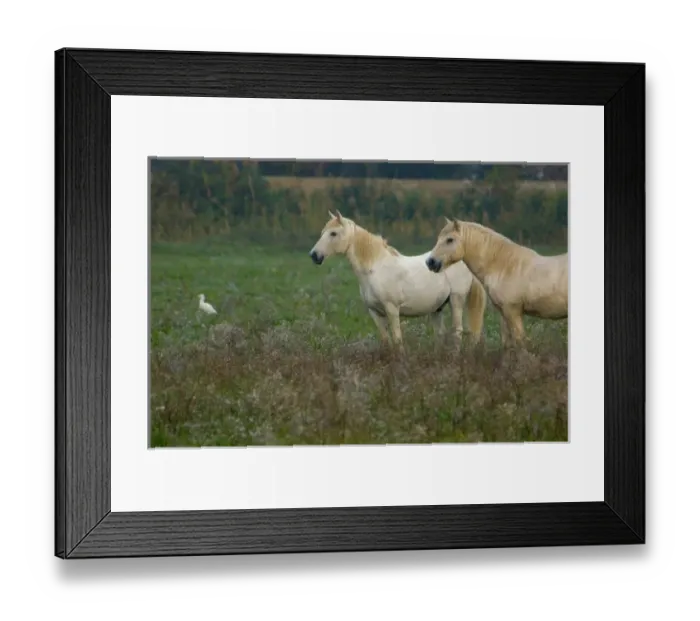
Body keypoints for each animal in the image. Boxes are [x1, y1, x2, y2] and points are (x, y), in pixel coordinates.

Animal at [309, 210, 486, 350]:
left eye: (333, 233)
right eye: (323, 232)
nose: (314, 255)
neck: (375, 268)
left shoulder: (392, 309)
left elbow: (397, 340)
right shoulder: (375, 313)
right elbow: (386, 341)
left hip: (456, 300)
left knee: (457, 332)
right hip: (437, 308)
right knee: (440, 334)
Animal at [426, 217, 568, 346]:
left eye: (449, 240)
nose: (430, 262)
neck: (506, 266)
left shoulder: (513, 311)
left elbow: (521, 343)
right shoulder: (504, 313)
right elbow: (507, 344)